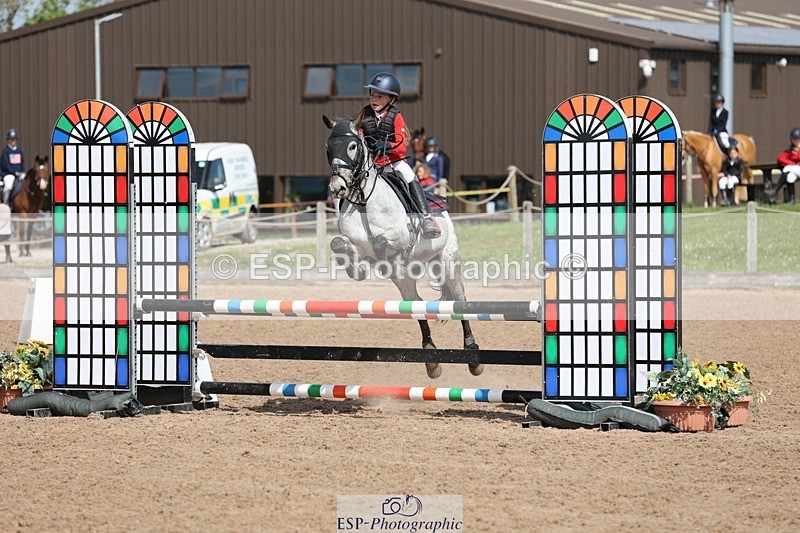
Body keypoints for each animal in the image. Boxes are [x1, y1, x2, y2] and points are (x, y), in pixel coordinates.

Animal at [322, 115, 481, 379]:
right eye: (328, 148)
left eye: (352, 146)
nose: (337, 188)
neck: (364, 200)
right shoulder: (355, 244)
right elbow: (340, 244)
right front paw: (358, 270)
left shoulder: (400, 236)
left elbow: (380, 242)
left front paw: (378, 258)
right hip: (405, 283)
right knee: (416, 305)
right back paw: (432, 361)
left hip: (448, 262)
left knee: (459, 300)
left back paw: (472, 354)